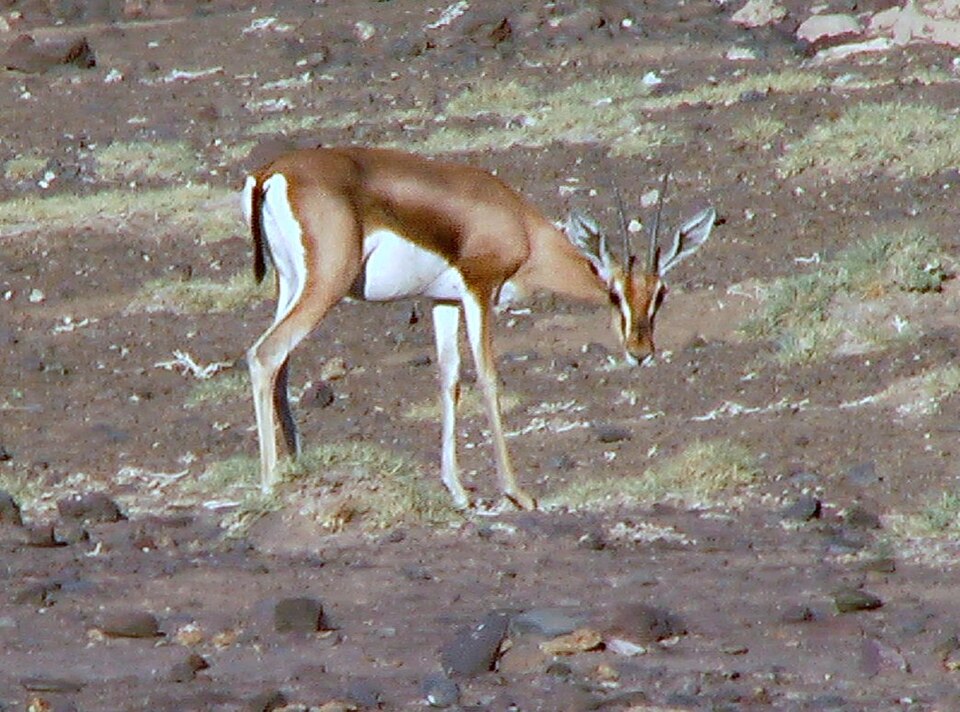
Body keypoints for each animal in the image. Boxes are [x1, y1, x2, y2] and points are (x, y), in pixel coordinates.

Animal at [242, 146, 715, 511]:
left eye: (660, 294)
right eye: (614, 293)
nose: (640, 351)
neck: (517, 224)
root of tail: (273, 172)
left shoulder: (444, 301)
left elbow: (449, 380)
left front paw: (457, 491)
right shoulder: (479, 289)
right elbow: (487, 378)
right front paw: (517, 493)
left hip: (291, 284)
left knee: (280, 365)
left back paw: (296, 468)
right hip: (326, 285)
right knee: (265, 353)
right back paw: (269, 483)